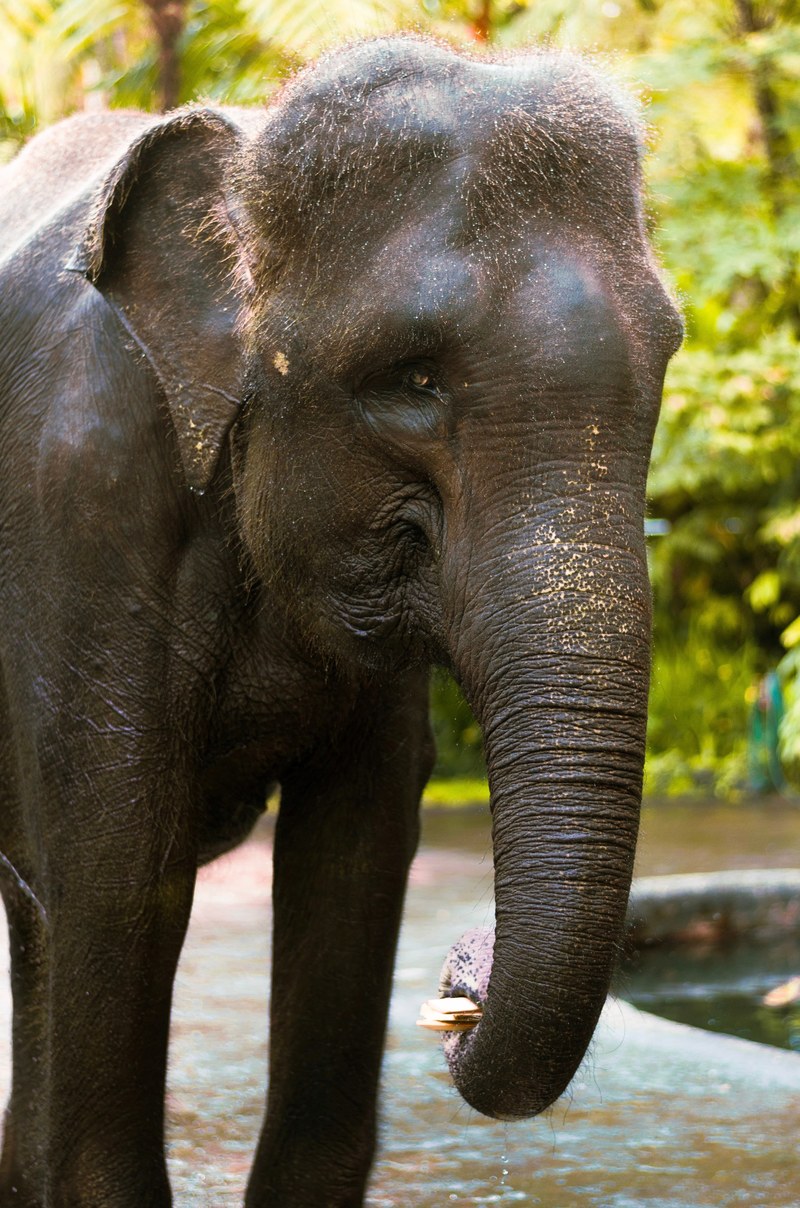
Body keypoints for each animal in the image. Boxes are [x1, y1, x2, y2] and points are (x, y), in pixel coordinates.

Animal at [0, 34, 682, 1207]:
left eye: (665, 362)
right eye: (411, 379)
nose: (459, 978)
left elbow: (354, 860)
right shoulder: (78, 500)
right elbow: (117, 882)